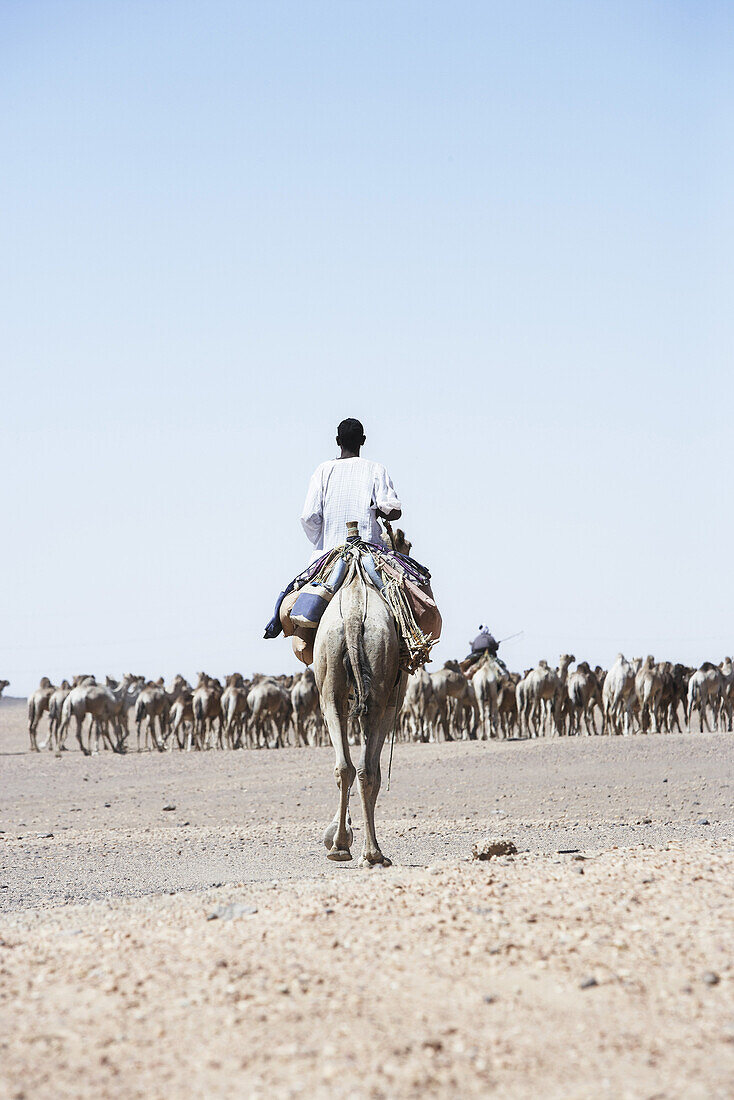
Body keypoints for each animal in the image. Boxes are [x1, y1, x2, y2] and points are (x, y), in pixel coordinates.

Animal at [316, 567, 407, 866]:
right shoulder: (393, 703)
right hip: (377, 693)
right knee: (366, 769)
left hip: (333, 682)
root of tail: (355, 615)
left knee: (347, 766)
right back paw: (370, 853)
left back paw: (344, 847)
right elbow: (375, 772)